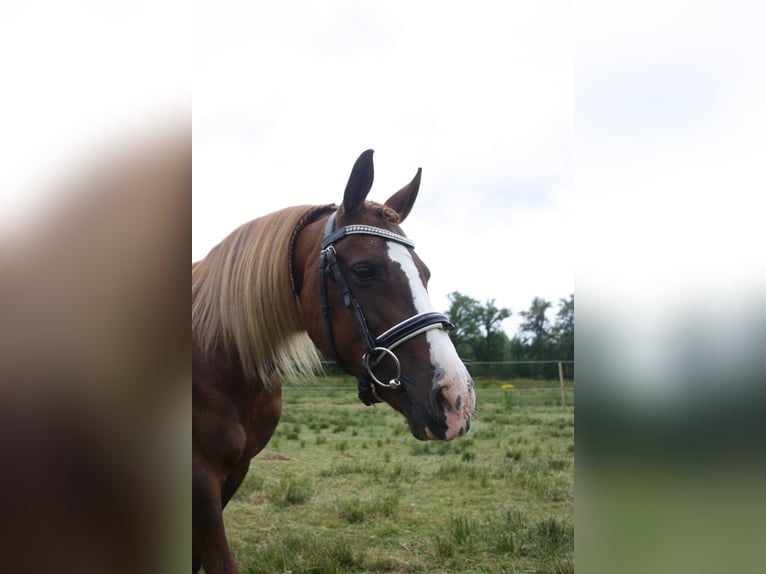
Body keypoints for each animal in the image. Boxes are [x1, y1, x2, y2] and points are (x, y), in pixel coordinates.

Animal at [192, 151, 476, 572]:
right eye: (363, 270)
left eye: (424, 273)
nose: (456, 397)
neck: (215, 361)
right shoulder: (201, 483)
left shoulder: (234, 474)